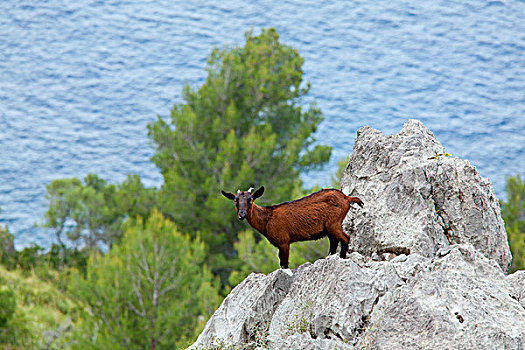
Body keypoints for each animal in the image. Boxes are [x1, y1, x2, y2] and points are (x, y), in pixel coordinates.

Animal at [219, 187, 362, 270]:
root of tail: (346, 198)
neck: (267, 218)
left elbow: (284, 263)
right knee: (334, 242)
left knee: (345, 238)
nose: (241, 215)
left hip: (334, 224)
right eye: (235, 200)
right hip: (329, 228)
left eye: (250, 199)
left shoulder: (283, 242)